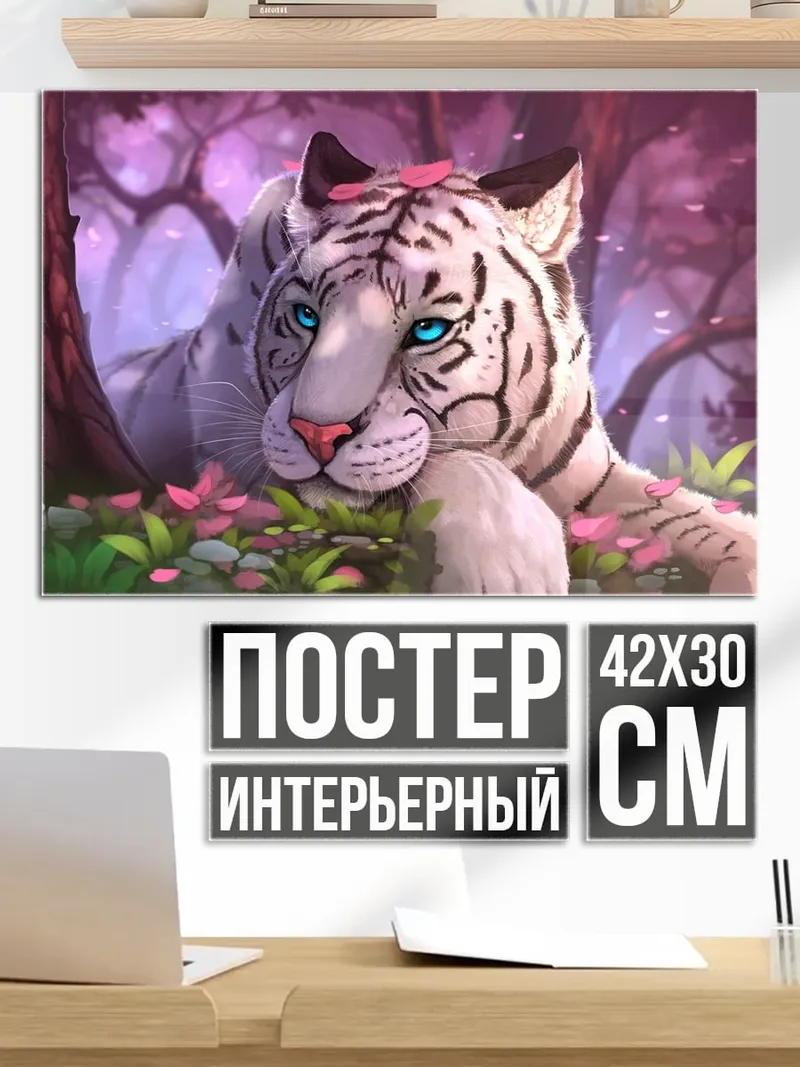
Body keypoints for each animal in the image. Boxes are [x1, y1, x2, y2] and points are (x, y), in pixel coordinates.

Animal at [103, 131, 756, 595]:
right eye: (308, 316)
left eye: (427, 330)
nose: (316, 434)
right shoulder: (245, 468)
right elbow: (449, 467)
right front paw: (515, 572)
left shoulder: (599, 479)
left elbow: (705, 522)